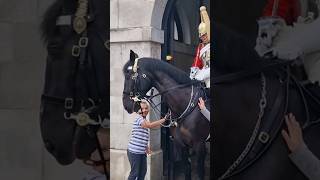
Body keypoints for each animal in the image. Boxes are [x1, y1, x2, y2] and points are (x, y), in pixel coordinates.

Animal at [122, 50, 210, 180]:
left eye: (131, 76)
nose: (126, 105)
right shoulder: (182, 145)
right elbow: (187, 169)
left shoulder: (199, 146)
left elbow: (200, 173)